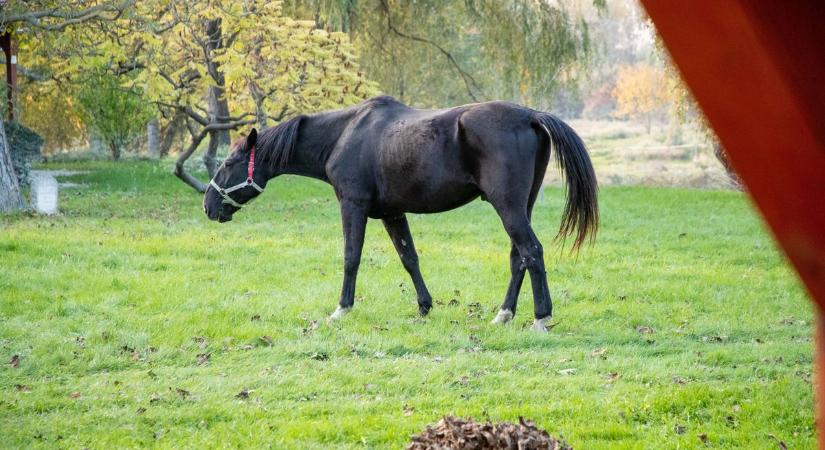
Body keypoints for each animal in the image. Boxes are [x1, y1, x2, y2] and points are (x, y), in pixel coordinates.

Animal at [203, 96, 596, 330]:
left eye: (228, 163)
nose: (208, 205)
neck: (343, 135)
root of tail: (530, 116)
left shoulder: (353, 206)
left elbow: (351, 257)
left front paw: (341, 308)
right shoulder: (392, 214)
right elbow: (410, 259)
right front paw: (424, 306)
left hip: (508, 207)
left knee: (532, 252)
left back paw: (541, 316)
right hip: (521, 206)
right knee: (519, 258)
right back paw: (503, 315)